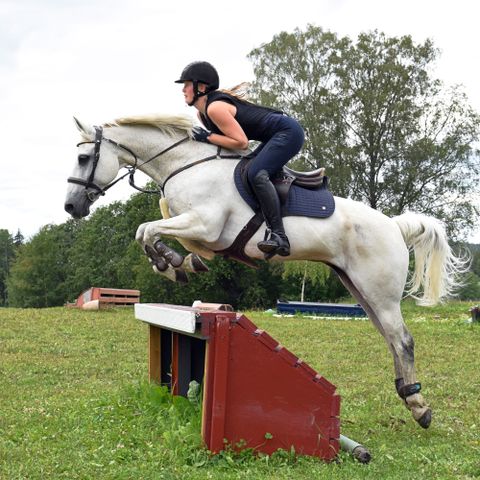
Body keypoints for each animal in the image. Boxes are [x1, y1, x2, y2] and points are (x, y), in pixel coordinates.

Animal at [65, 114, 466, 430]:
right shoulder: (199, 229)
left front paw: (172, 263)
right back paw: (407, 395)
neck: (186, 165)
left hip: (379, 292)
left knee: (403, 339)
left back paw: (419, 407)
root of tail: (395, 226)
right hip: (360, 289)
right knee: (390, 338)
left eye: (84, 158)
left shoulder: (206, 224)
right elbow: (152, 233)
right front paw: (178, 264)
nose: (71, 207)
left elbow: (147, 229)